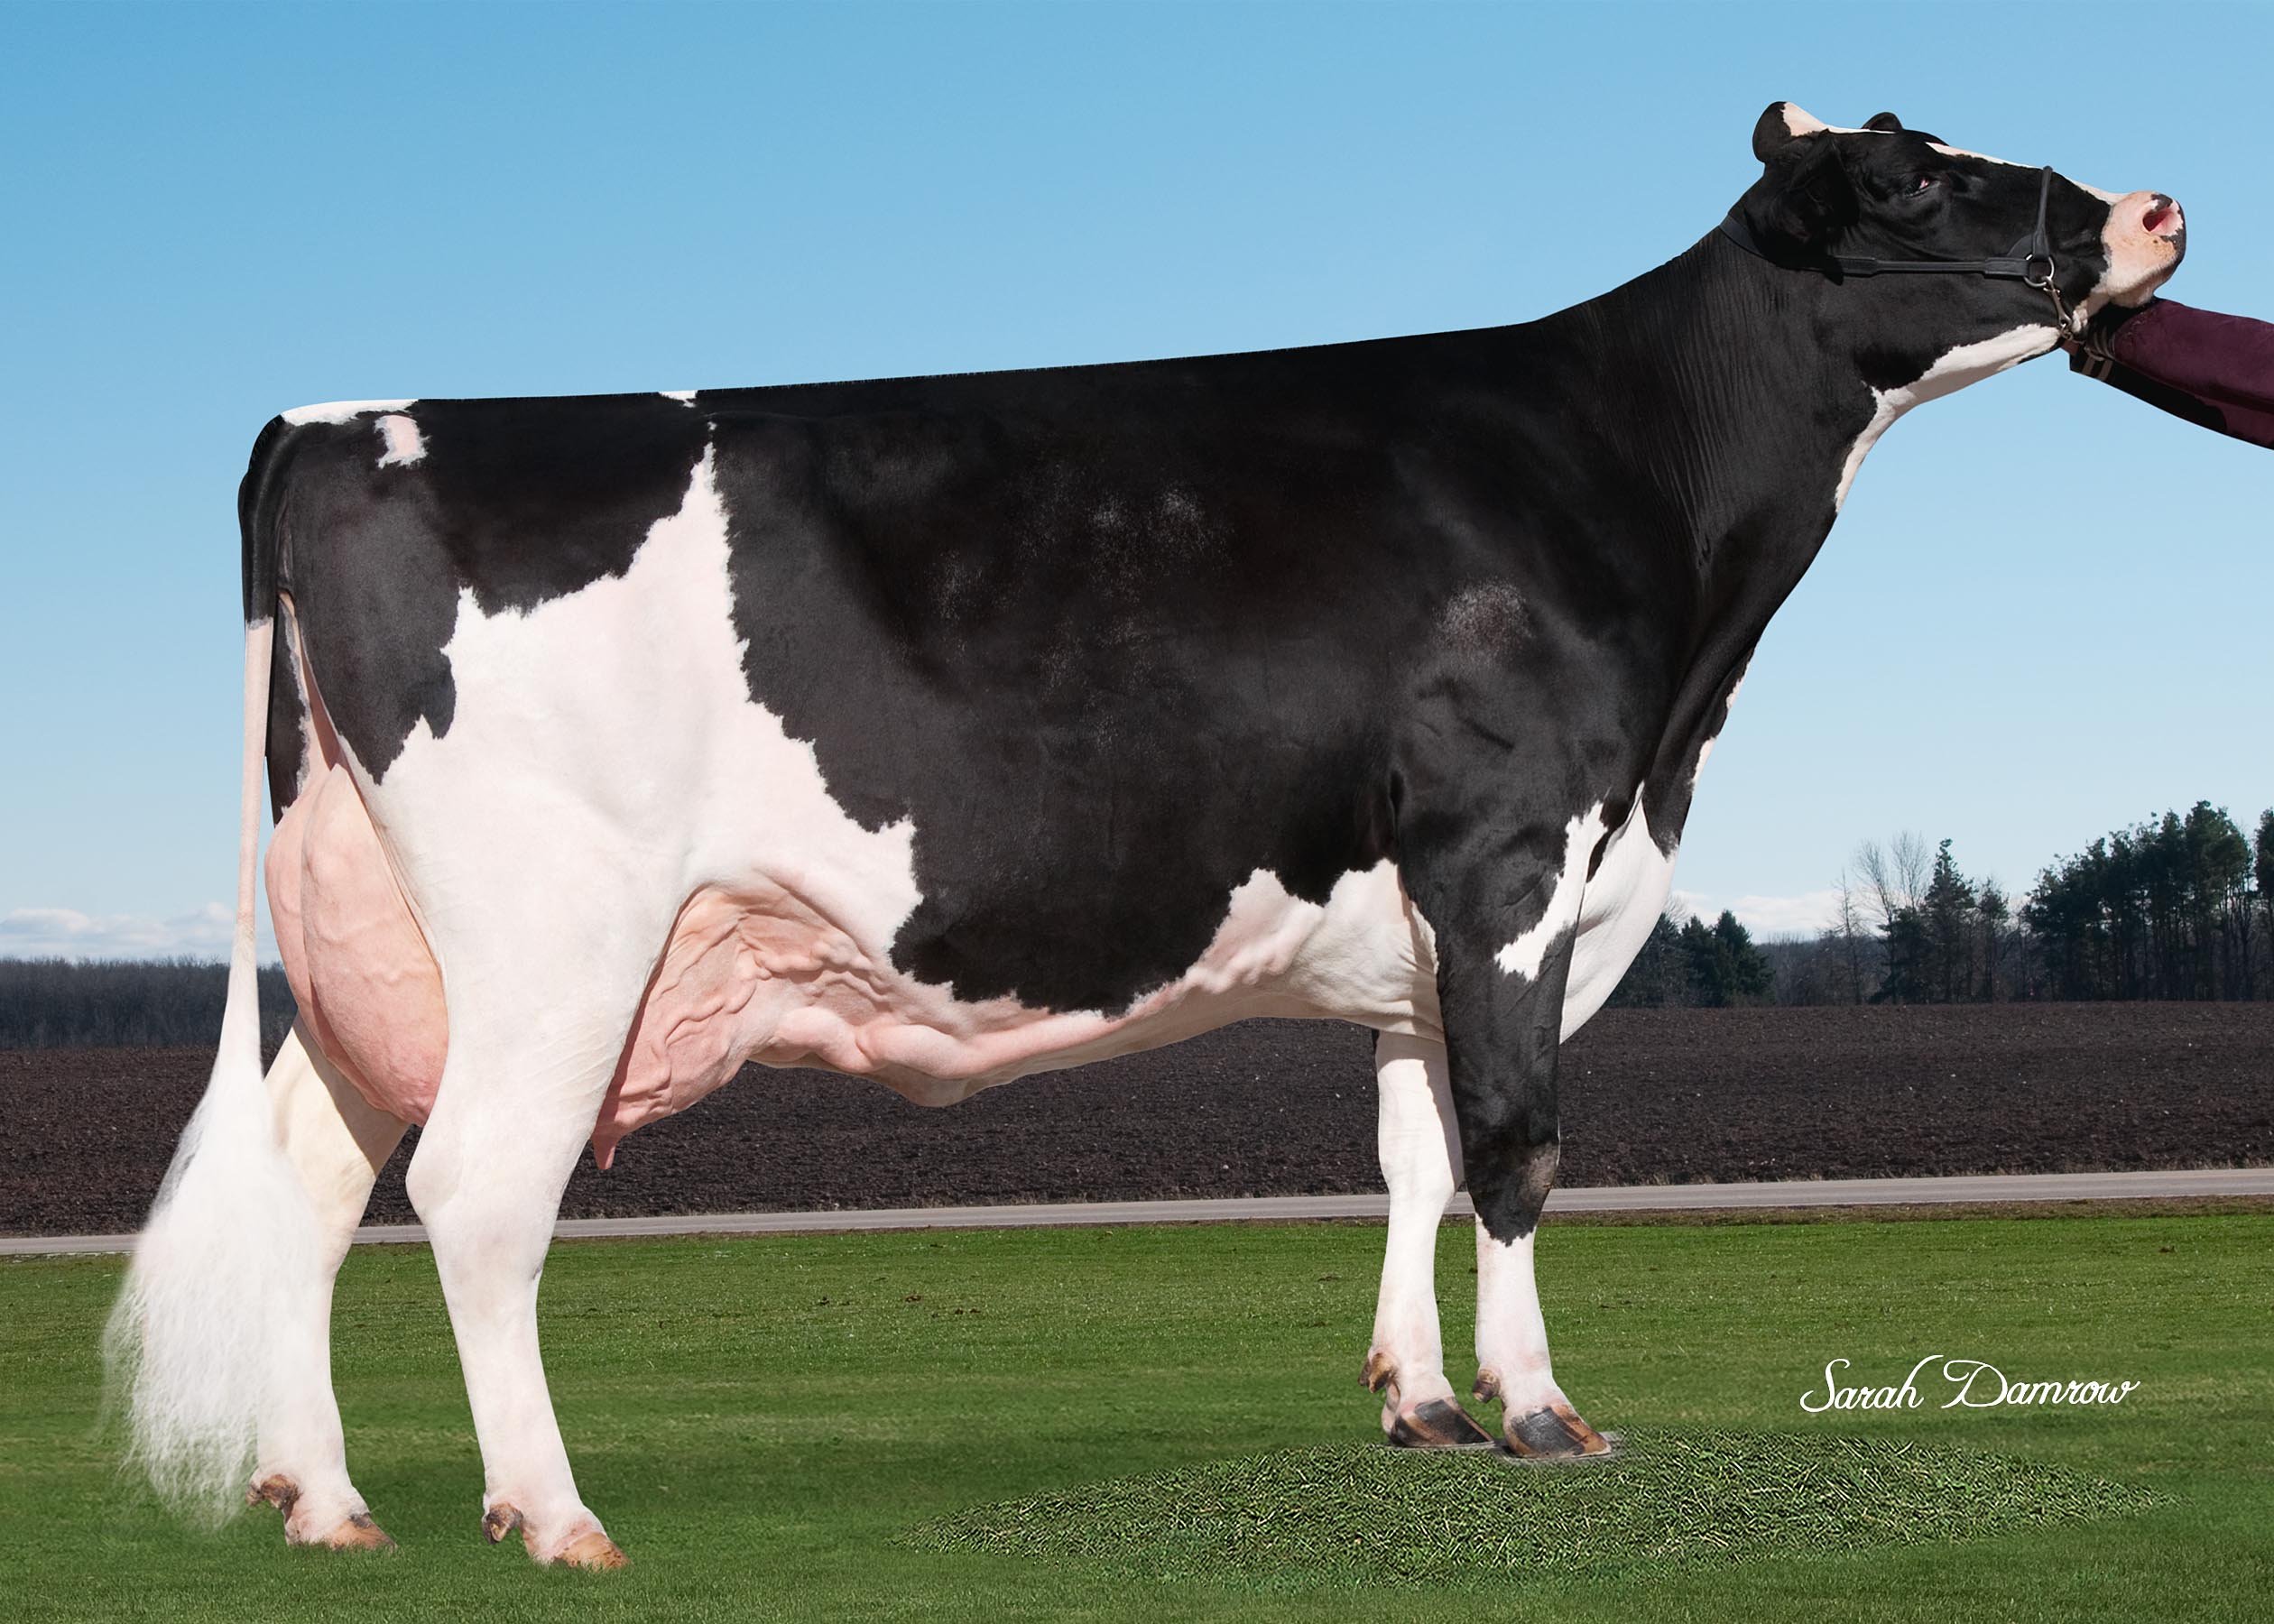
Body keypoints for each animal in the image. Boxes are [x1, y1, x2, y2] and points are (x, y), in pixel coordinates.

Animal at [107, 104, 2185, 1568]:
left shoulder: (1417, 919)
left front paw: (1420, 1410)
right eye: (1917, 178)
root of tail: (342, 418)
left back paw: (325, 1502)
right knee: (475, 1190)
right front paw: (1538, 1415)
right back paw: (550, 1517)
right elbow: (1514, 1145)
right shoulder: (1513, 850)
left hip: (373, 933)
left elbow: (1414, 1151)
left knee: (310, 1176)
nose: (2156, 212)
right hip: (556, 932)